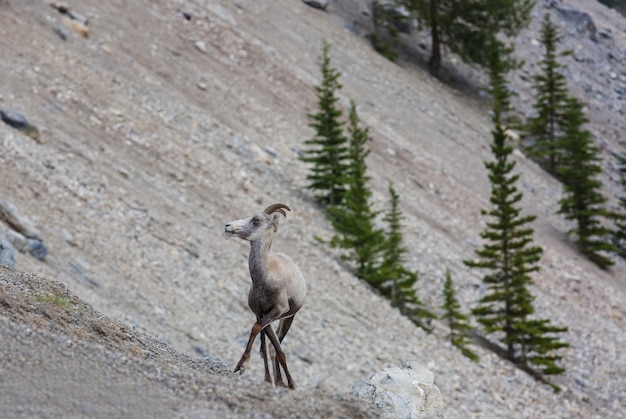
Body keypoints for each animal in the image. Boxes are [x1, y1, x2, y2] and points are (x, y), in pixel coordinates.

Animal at [224, 203, 304, 390]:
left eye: (256, 219)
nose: (228, 226)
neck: (267, 278)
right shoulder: (260, 313)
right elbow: (260, 335)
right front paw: (242, 367)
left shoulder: (278, 311)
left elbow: (260, 334)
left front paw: (291, 384)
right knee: (267, 346)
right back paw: (272, 380)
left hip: (288, 318)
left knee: (273, 346)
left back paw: (281, 381)